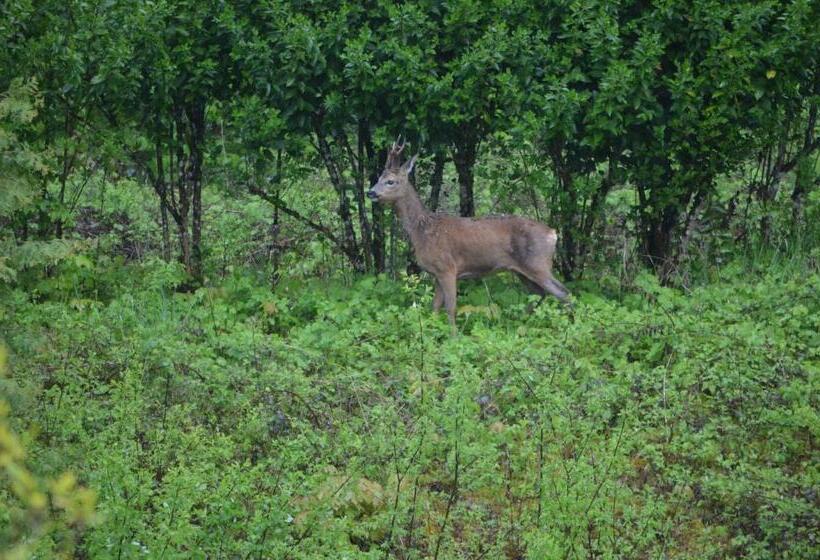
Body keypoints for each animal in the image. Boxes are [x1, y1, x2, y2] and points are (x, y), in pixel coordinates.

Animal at [370, 139, 572, 332]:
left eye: (390, 181)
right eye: (378, 178)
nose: (370, 192)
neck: (422, 231)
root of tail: (553, 233)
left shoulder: (447, 268)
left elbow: (450, 307)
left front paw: (453, 337)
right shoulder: (436, 273)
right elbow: (434, 307)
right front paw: (430, 334)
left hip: (538, 263)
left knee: (563, 292)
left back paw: (568, 327)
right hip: (521, 270)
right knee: (539, 293)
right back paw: (522, 324)